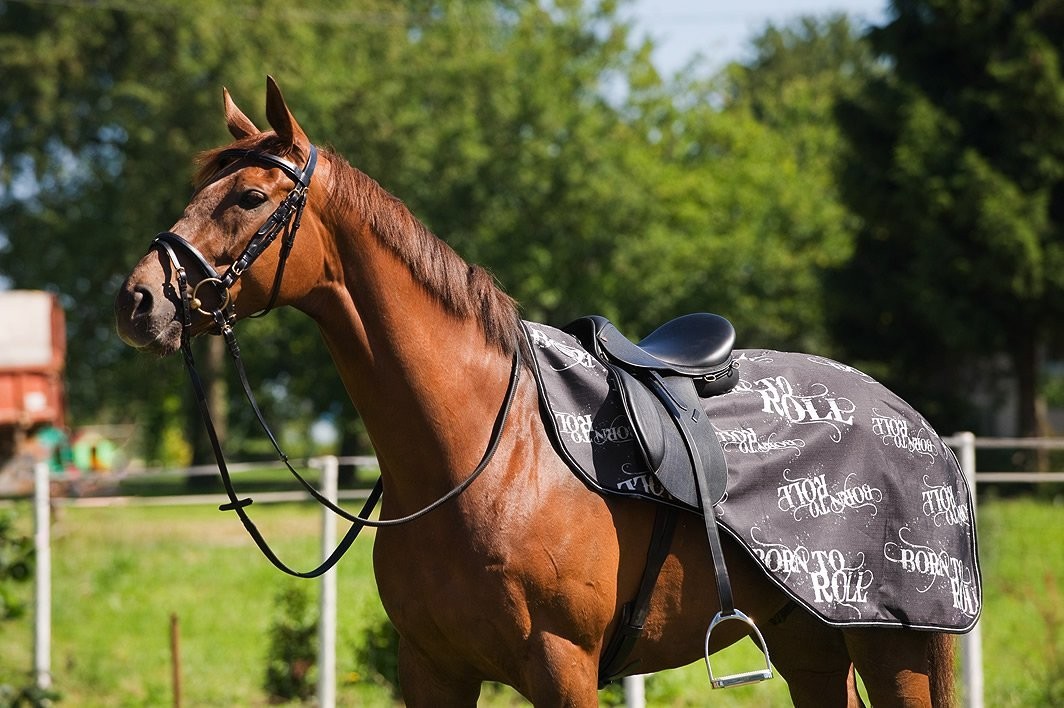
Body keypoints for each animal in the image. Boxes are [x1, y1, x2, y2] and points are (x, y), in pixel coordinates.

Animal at [115, 77, 961, 707]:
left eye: (249, 199)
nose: (138, 301)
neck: (479, 460)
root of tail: (913, 427)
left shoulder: (562, 668)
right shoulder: (433, 669)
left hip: (899, 653)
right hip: (808, 641)